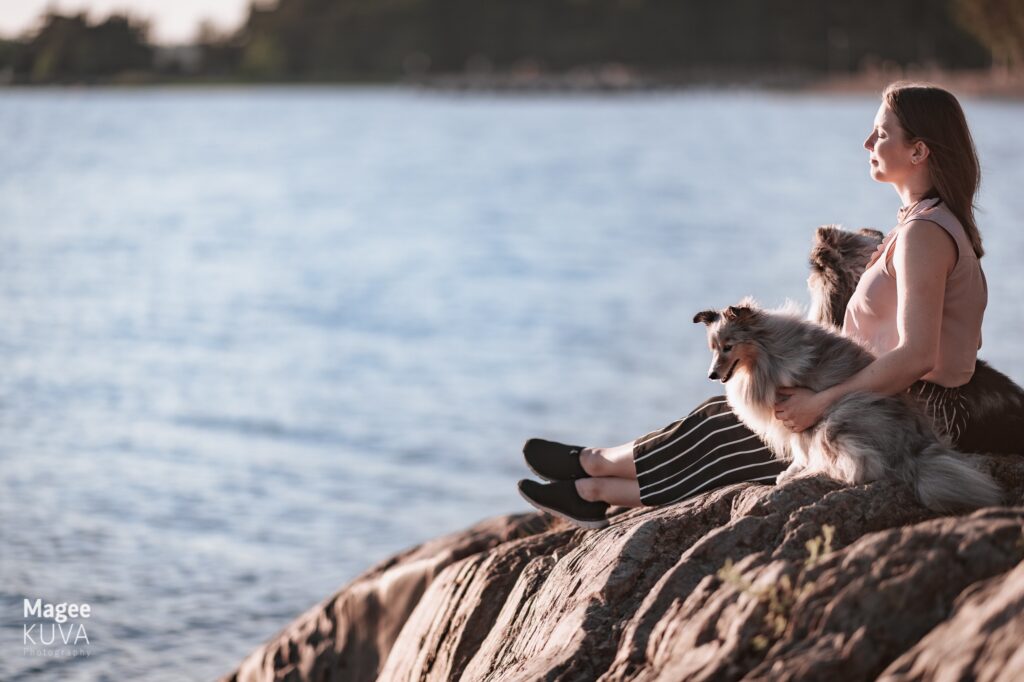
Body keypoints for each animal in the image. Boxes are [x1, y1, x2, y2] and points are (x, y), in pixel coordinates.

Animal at [692, 296, 1003, 509]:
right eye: (713, 348)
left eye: (728, 347)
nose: (711, 375)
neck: (765, 352)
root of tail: (912, 451)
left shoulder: (796, 411)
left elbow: (799, 448)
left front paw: (793, 473)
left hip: (838, 417)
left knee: (865, 467)